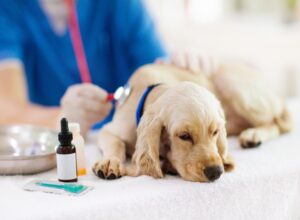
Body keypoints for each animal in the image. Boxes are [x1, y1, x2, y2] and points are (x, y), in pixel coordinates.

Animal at [92, 63, 292, 182]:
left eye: (215, 132)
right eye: (184, 136)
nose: (216, 173)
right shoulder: (108, 130)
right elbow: (116, 143)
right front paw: (110, 162)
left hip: (233, 86)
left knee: (276, 123)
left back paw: (253, 135)